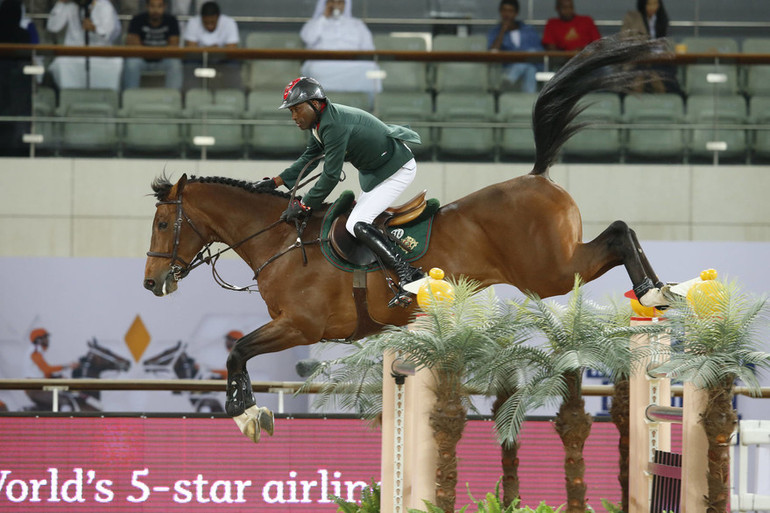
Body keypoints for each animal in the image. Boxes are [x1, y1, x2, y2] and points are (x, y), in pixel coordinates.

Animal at [142, 36, 664, 440]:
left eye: (164, 225)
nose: (151, 283)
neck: (280, 243)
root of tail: (537, 176)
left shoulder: (300, 326)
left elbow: (237, 352)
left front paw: (245, 412)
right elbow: (238, 353)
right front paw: (249, 412)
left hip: (548, 271)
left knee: (617, 235)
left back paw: (650, 292)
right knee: (621, 232)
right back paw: (662, 294)